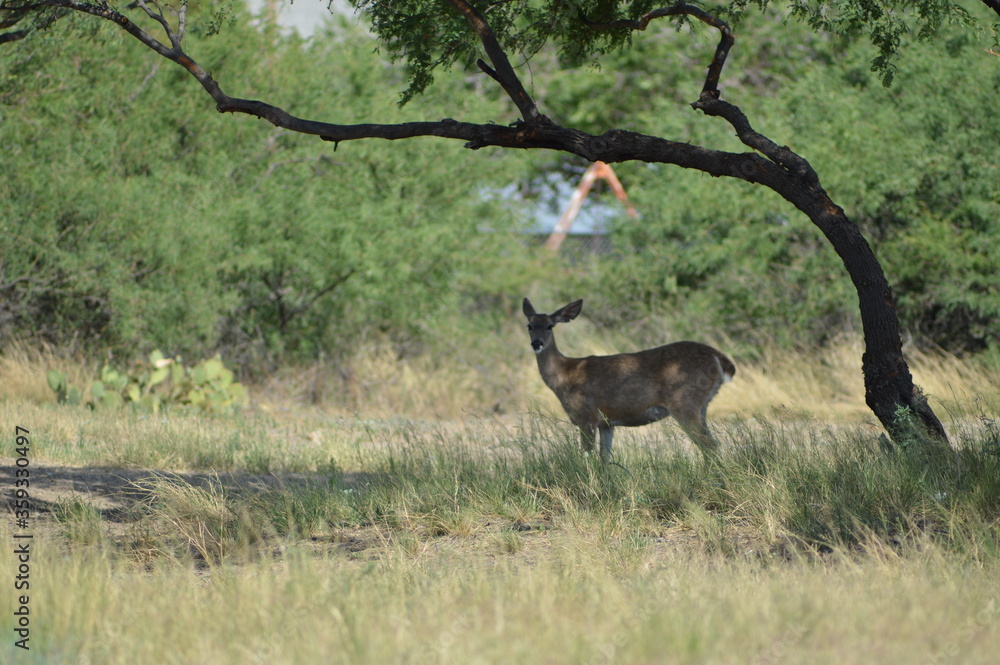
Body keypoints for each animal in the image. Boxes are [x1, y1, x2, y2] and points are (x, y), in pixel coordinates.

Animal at [522, 298, 735, 462]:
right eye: (529, 326)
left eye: (550, 325)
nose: (536, 343)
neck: (565, 375)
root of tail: (719, 358)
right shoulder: (606, 423)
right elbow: (604, 459)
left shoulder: (586, 416)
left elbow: (587, 458)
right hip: (702, 406)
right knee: (712, 445)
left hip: (684, 403)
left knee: (709, 446)